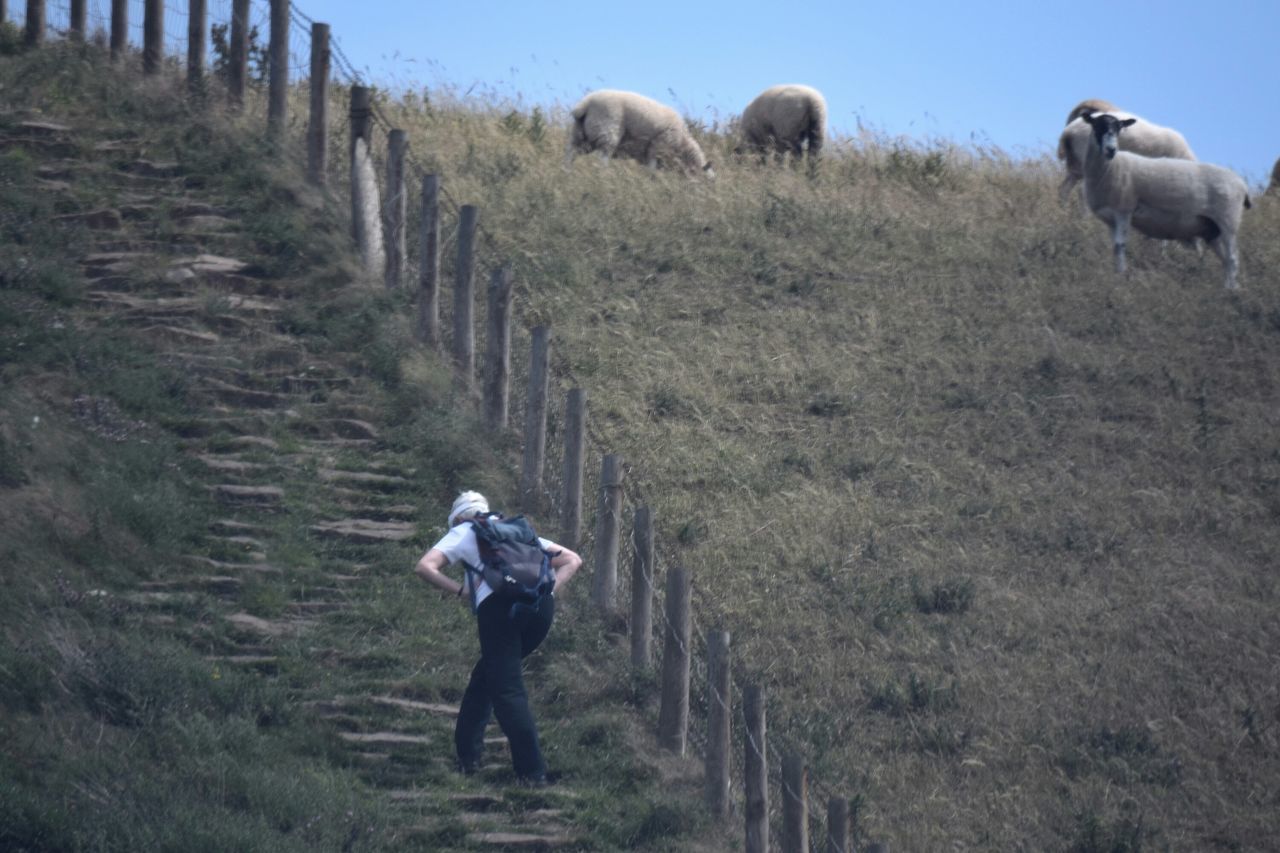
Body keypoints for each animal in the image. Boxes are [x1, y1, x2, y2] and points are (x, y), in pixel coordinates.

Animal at [568, 89, 716, 178]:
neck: (682, 143)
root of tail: (584, 105)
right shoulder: (656, 148)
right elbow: (652, 171)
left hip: (581, 136)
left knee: (570, 153)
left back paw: (566, 171)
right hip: (607, 134)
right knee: (602, 159)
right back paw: (604, 174)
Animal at [1080, 112, 1249, 289]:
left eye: (1119, 128)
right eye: (1098, 125)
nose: (1111, 149)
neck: (1110, 167)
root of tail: (1241, 184)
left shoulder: (1124, 211)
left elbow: (1120, 246)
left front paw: (1120, 278)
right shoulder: (1111, 219)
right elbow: (1114, 248)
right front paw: (1116, 274)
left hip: (1228, 221)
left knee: (1233, 259)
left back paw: (1231, 291)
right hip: (1212, 230)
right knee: (1225, 260)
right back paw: (1227, 288)